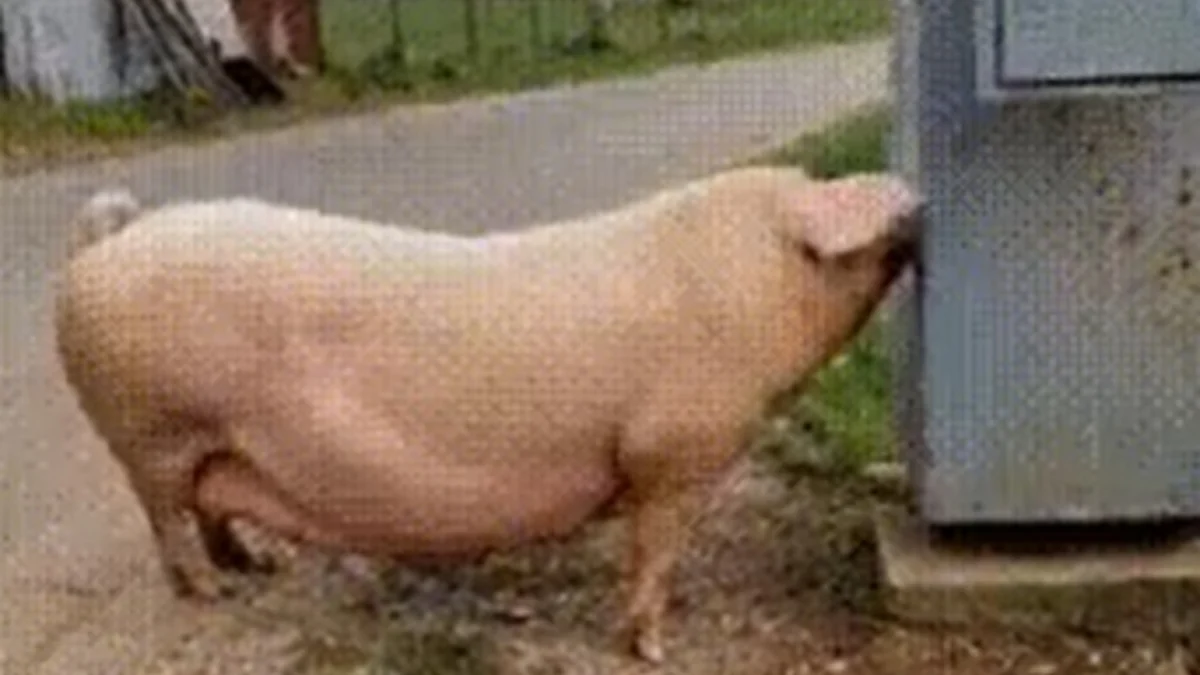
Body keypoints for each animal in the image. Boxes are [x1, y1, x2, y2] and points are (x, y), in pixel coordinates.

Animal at [54, 166, 921, 664]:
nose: (916, 197)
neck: (757, 286)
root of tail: (111, 238)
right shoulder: (675, 451)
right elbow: (655, 550)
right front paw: (652, 644)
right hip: (153, 432)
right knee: (168, 517)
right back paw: (213, 593)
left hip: (200, 441)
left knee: (208, 509)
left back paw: (255, 567)